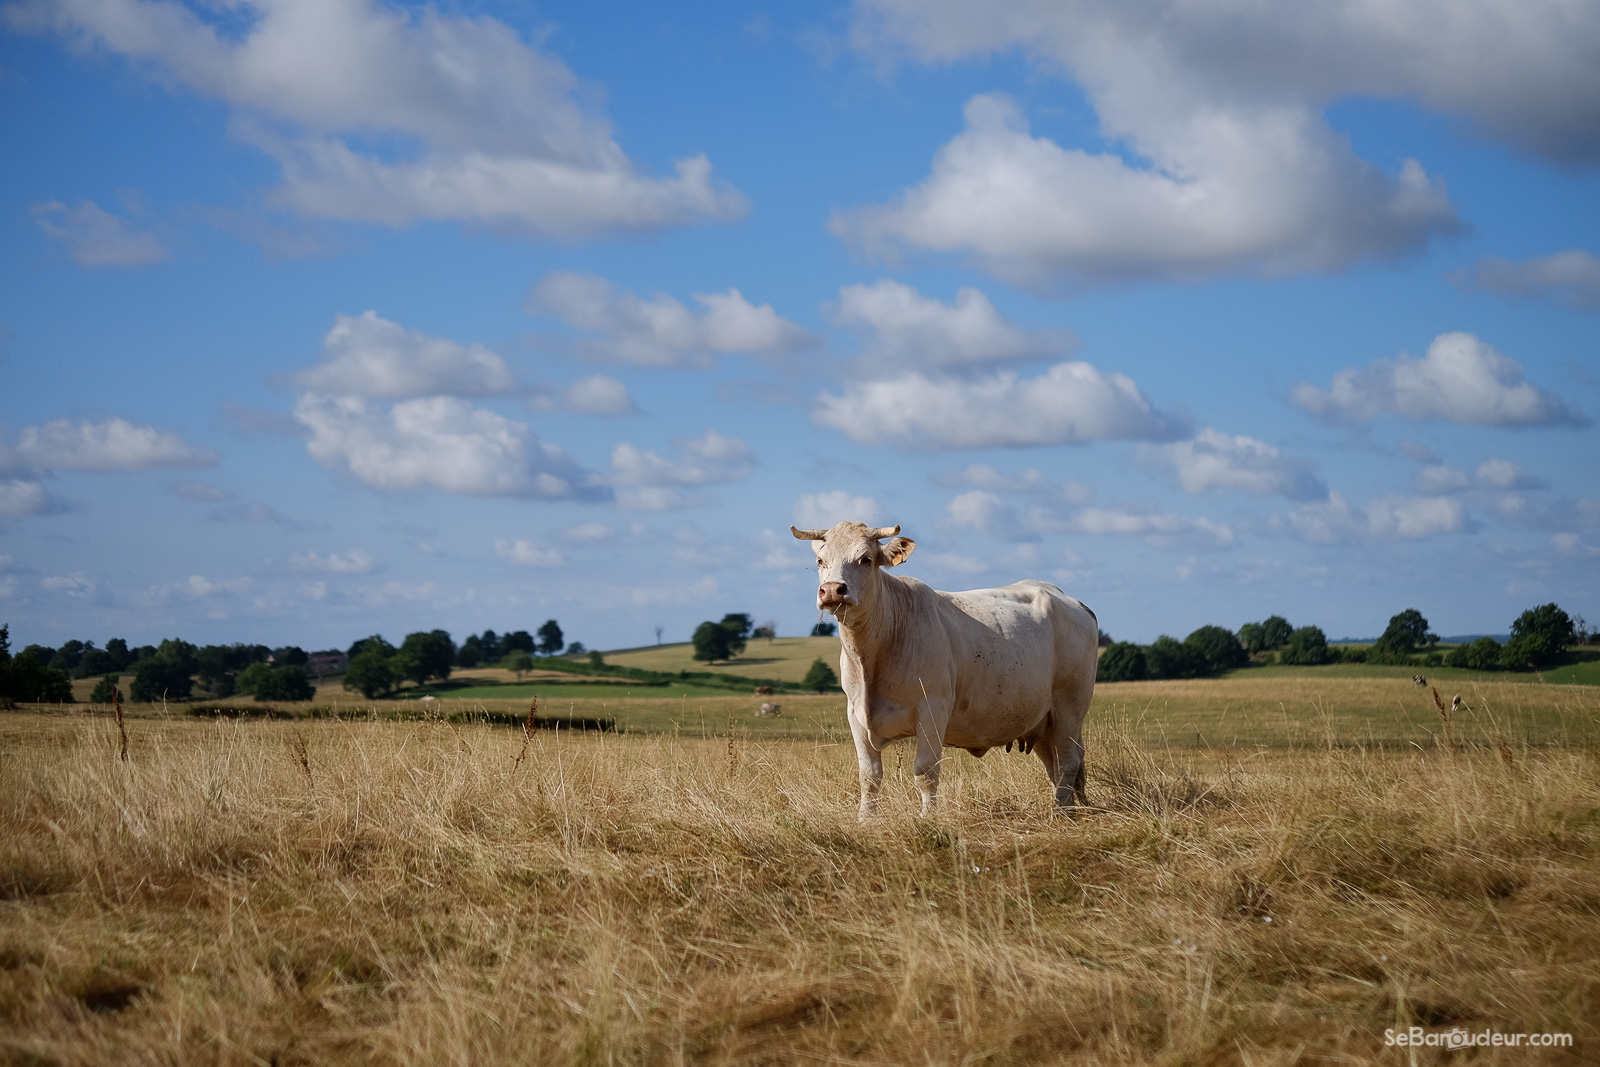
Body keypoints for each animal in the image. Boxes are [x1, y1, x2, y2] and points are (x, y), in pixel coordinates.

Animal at [790, 518, 1100, 819]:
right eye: (821, 560)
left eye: (865, 559)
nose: (832, 590)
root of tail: (1070, 600)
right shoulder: (855, 713)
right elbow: (869, 776)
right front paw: (866, 819)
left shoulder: (932, 708)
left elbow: (925, 772)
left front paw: (929, 818)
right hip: (1043, 720)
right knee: (1055, 764)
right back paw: (1066, 808)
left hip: (1069, 707)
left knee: (1068, 761)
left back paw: (1061, 811)